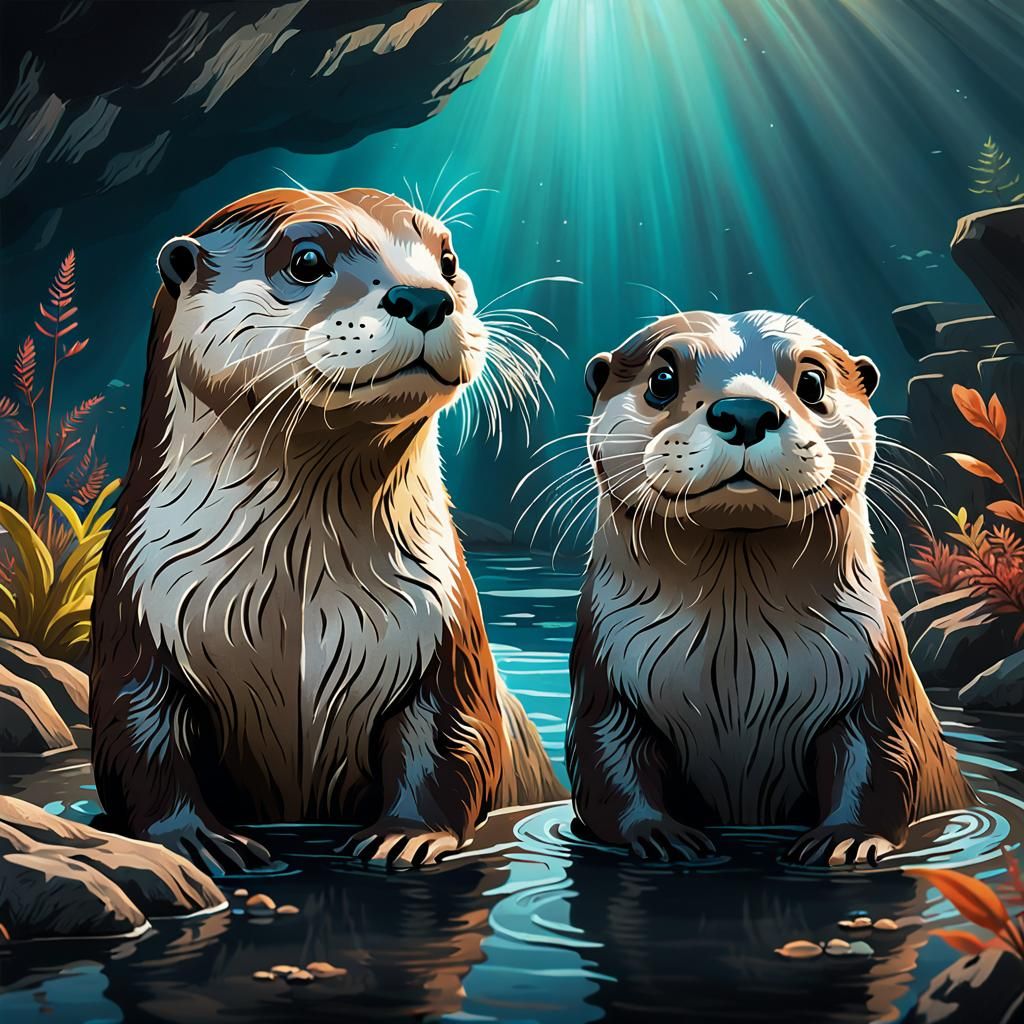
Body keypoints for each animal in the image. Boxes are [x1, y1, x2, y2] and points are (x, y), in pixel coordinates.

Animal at [90, 187, 563, 874]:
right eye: (307, 259)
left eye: (447, 259)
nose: (425, 298)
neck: (296, 595)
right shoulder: (138, 607)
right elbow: (137, 736)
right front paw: (194, 838)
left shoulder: (446, 623)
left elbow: (451, 736)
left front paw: (407, 835)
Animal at [567, 310, 972, 866]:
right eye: (662, 379)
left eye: (813, 381)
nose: (745, 411)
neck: (738, 677)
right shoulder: (605, 672)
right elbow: (605, 758)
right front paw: (659, 833)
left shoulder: (875, 674)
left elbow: (880, 756)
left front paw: (846, 839)